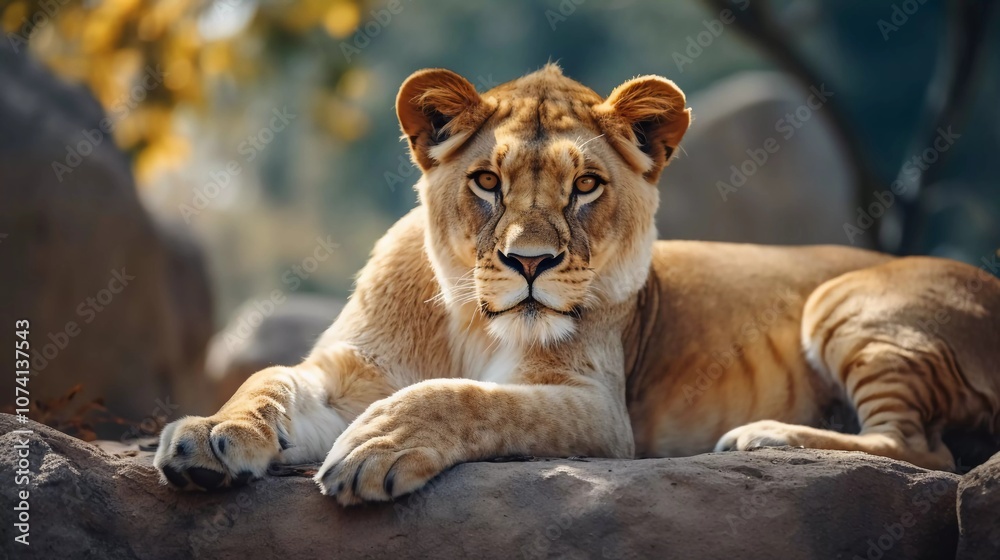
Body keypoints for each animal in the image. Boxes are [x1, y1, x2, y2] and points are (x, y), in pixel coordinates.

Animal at [155, 64, 1000, 504]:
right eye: (488, 181)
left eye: (586, 186)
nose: (530, 262)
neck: (472, 317)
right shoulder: (351, 372)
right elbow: (268, 378)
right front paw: (206, 435)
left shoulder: (599, 409)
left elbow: (465, 397)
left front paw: (380, 444)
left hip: (847, 301)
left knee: (923, 451)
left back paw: (766, 437)